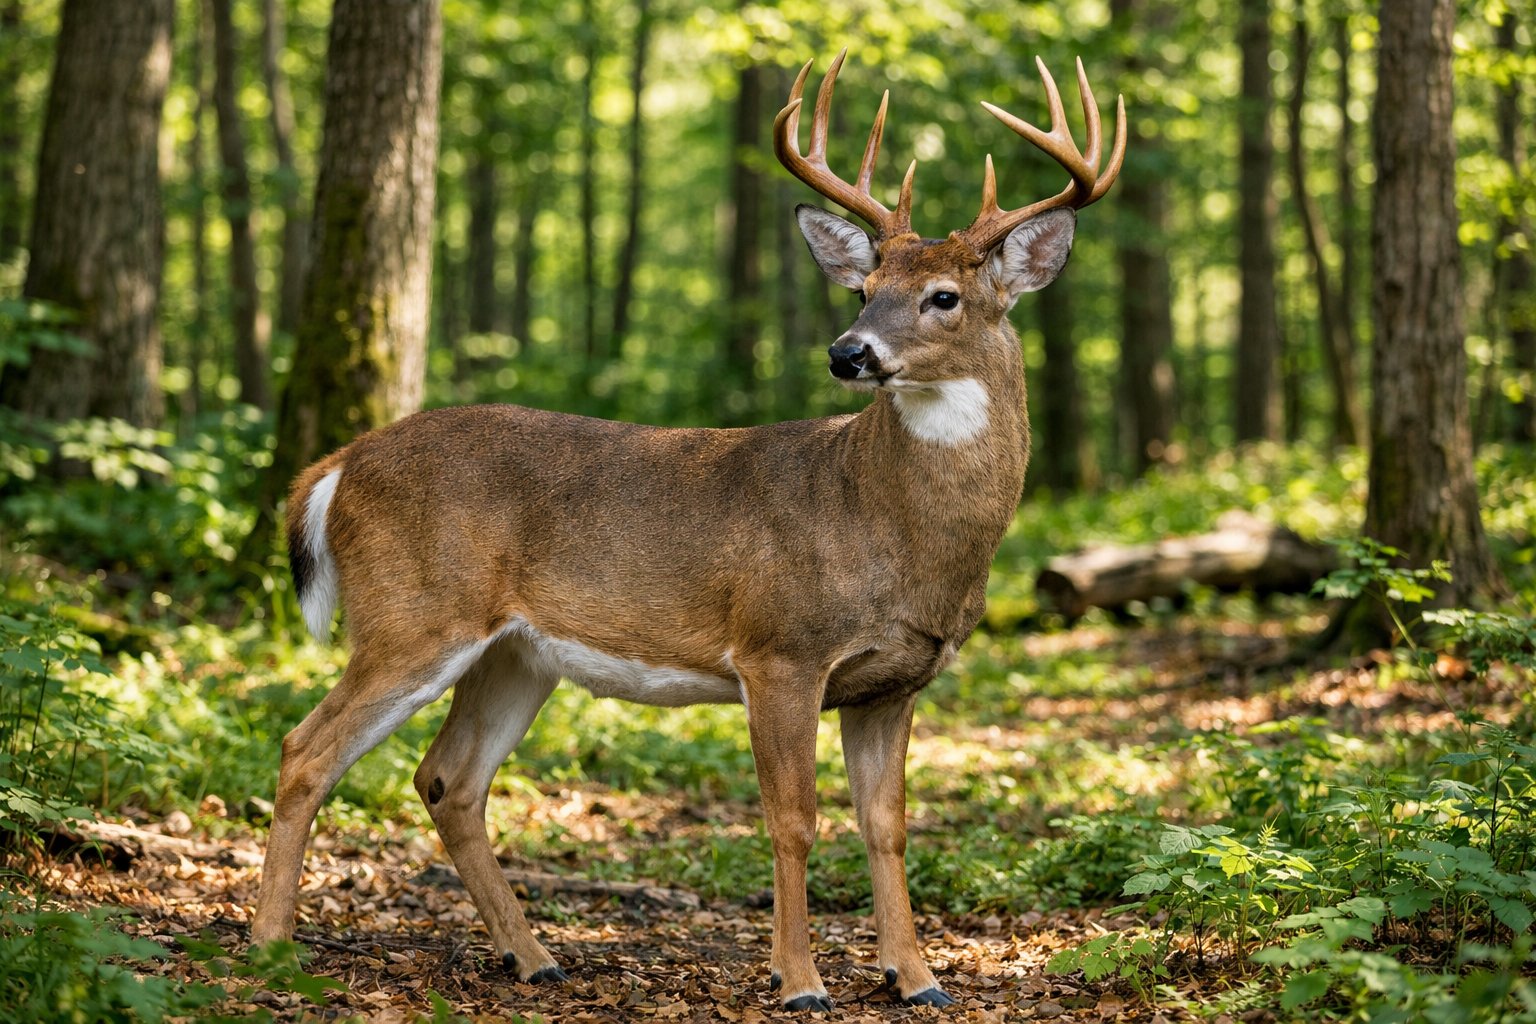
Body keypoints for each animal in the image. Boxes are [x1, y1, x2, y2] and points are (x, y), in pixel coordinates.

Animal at [249, 50, 1123, 1012]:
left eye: (944, 297)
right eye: (863, 290)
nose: (847, 352)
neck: (890, 527)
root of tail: (335, 467)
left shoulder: (896, 679)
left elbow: (887, 826)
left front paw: (918, 979)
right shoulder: (779, 649)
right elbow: (792, 820)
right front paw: (799, 982)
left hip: (513, 653)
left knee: (449, 780)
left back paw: (534, 955)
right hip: (413, 615)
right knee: (306, 750)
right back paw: (268, 946)